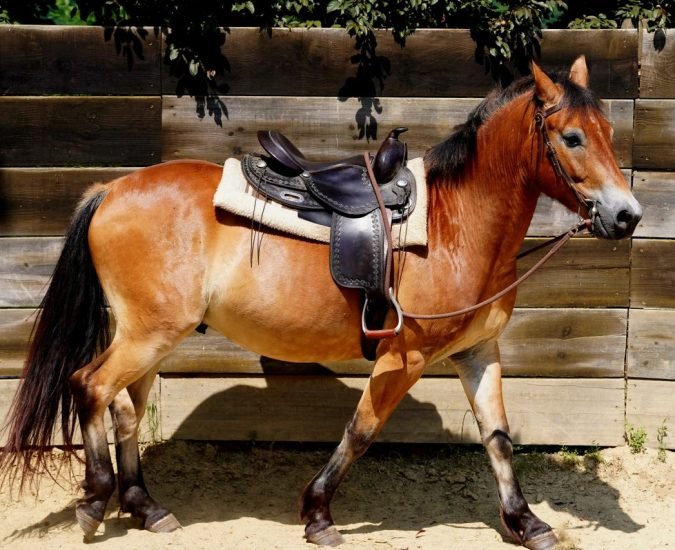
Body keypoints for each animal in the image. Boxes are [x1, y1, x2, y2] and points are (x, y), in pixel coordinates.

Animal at [0, 56, 641, 549]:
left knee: (125, 407)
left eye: (610, 134)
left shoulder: (477, 353)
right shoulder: (404, 358)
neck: (455, 226)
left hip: (152, 337)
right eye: (572, 137)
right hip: (147, 334)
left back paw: (144, 506)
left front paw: (525, 521)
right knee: (91, 386)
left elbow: (500, 439)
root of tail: (110, 188)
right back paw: (96, 500)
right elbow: (360, 431)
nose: (627, 215)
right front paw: (317, 513)